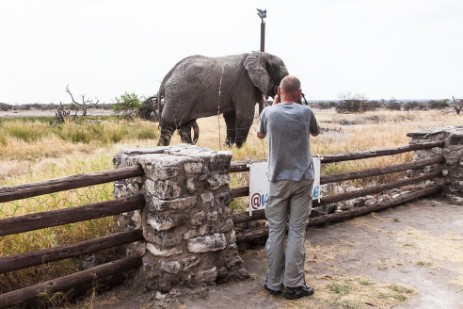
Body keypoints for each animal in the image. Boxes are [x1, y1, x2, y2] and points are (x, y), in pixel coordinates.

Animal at [158, 51, 288, 147]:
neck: (262, 55)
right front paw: (239, 148)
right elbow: (244, 116)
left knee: (183, 126)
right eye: (283, 77)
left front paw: (229, 148)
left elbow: (231, 117)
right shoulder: (245, 84)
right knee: (169, 123)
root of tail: (167, 76)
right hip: (179, 94)